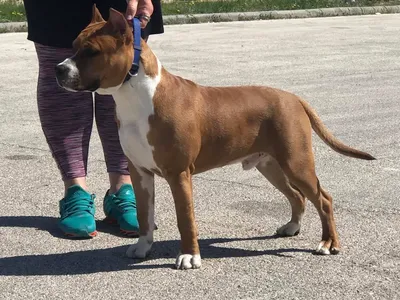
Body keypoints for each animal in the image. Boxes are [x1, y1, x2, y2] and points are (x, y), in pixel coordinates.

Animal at [55, 6, 376, 270]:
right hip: (271, 165)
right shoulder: (140, 172)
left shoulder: (178, 174)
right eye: (73, 47)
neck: (137, 96)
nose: (58, 69)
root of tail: (294, 97)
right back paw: (292, 227)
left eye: (91, 51)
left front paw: (189, 257)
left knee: (323, 198)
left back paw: (327, 243)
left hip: (296, 163)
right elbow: (146, 215)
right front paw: (143, 247)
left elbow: (186, 219)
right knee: (297, 196)